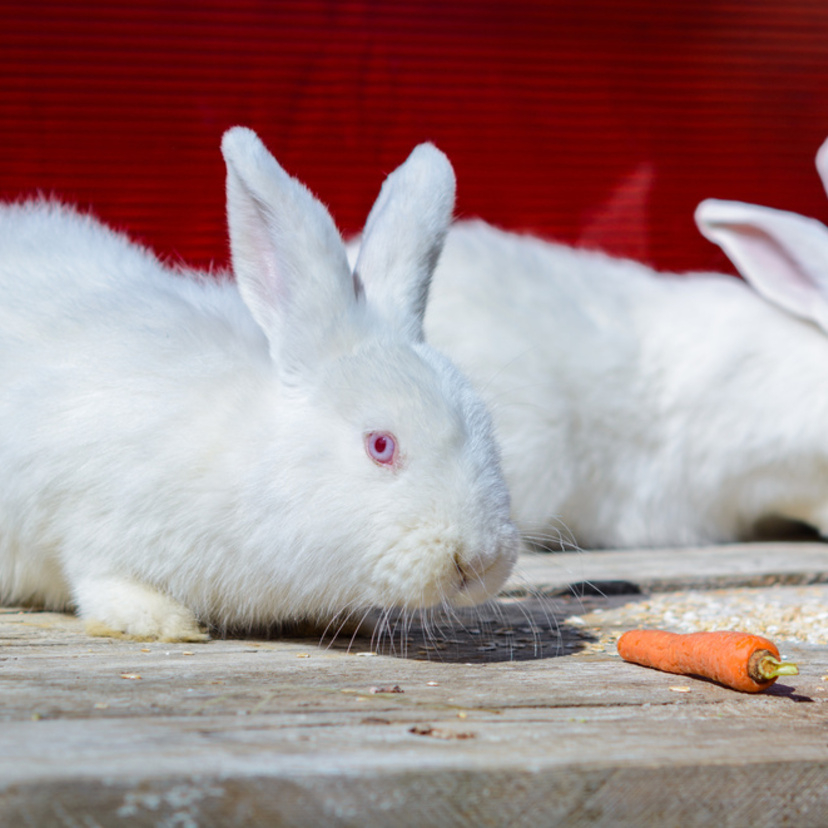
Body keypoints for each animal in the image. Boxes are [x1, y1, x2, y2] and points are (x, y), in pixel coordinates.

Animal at [0, 126, 516, 640]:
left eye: (487, 429)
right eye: (381, 445)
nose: (478, 560)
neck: (255, 458)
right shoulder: (94, 522)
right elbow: (100, 578)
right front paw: (162, 621)